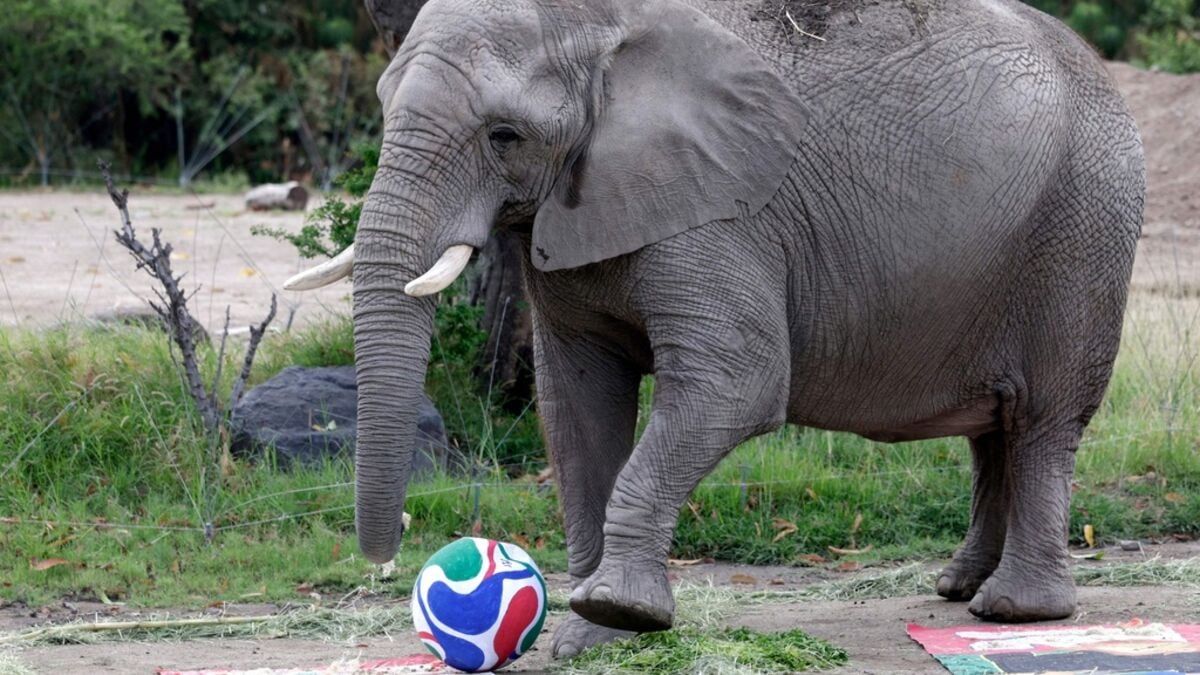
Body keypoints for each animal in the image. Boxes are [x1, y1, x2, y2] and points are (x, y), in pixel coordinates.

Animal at [286, 0, 1145, 658]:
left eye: (504, 136)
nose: (395, 548)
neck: (598, 28)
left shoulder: (723, 213)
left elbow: (739, 383)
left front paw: (616, 612)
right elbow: (577, 406)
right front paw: (590, 639)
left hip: (1081, 228)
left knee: (1040, 419)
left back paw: (1014, 611)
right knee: (994, 428)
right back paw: (959, 586)